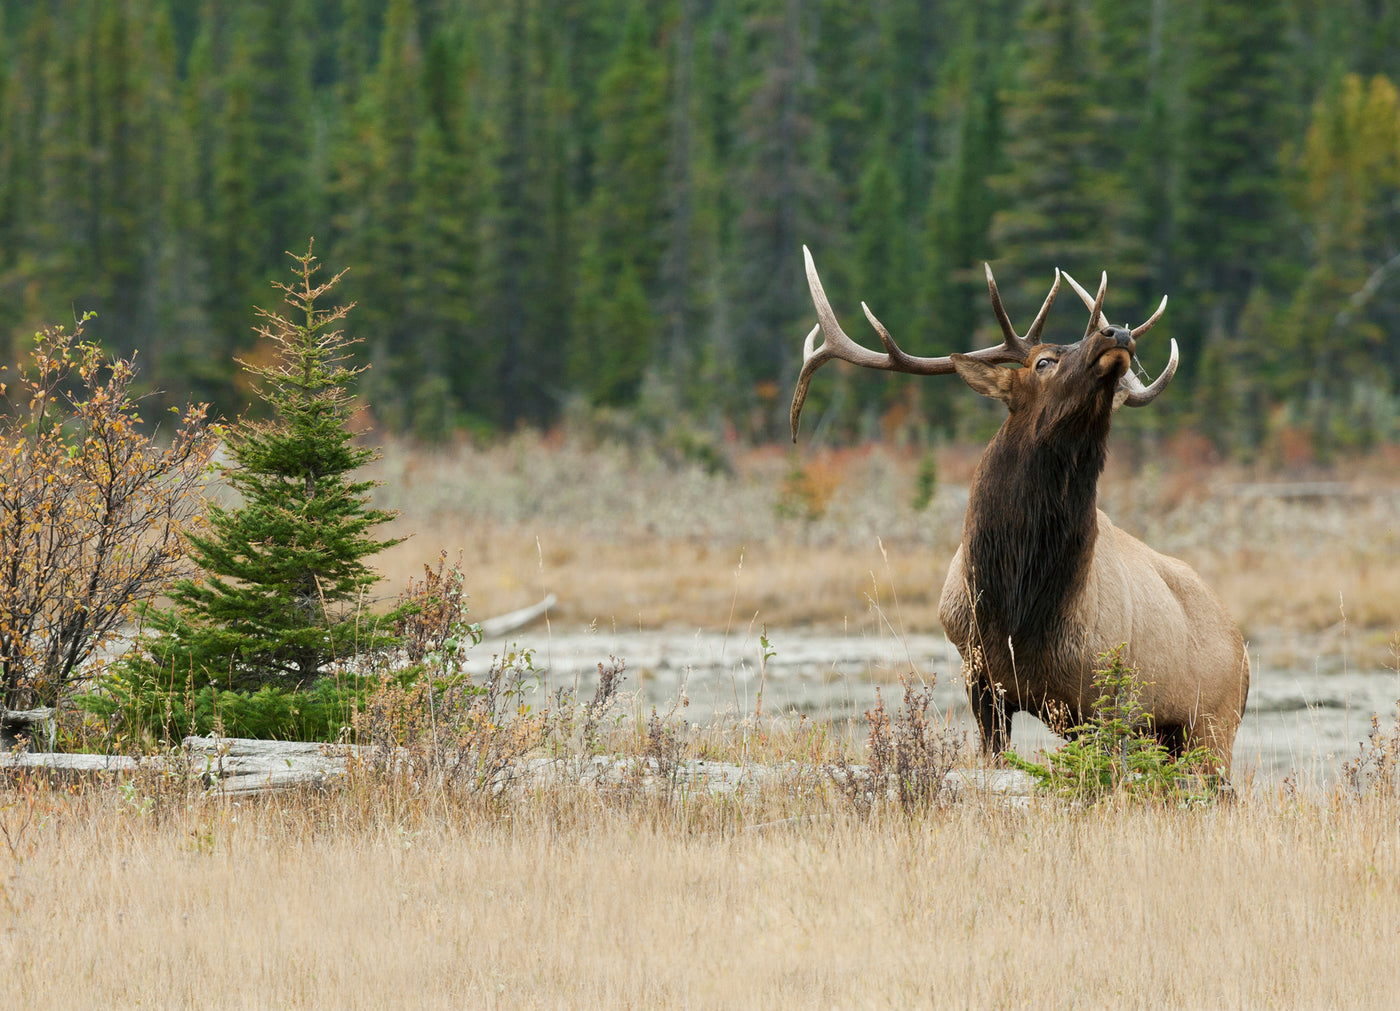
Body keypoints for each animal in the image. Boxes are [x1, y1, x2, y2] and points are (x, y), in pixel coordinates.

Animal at [789, 246, 1250, 776]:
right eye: (1043, 361)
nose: (1117, 333)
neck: (1014, 605)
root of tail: (1245, 655)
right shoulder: (982, 681)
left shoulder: (1107, 698)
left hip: (1211, 725)